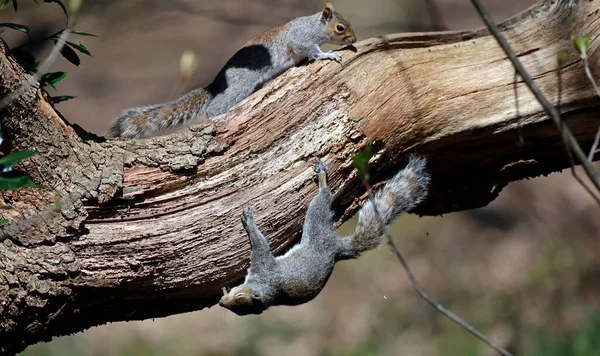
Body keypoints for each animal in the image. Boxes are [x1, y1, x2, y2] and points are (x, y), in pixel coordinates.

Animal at [106, 3, 356, 138]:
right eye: (340, 27)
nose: (354, 39)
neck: (313, 25)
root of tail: (216, 85)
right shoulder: (301, 40)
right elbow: (313, 51)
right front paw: (330, 55)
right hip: (238, 88)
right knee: (215, 108)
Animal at [220, 155, 432, 314]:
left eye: (240, 297)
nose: (222, 303)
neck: (266, 288)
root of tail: (337, 248)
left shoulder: (263, 265)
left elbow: (260, 245)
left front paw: (250, 222)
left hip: (316, 224)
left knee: (323, 199)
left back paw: (322, 178)